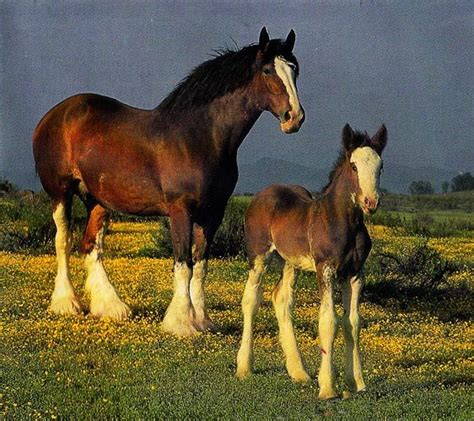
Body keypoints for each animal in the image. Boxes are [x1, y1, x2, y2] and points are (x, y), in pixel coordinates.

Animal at [34, 27, 308, 334]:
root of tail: (54, 116)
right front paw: (182, 322)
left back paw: (111, 307)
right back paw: (66, 303)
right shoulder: (180, 210)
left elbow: (200, 265)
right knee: (62, 241)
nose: (294, 117)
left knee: (91, 246)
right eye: (267, 70)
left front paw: (203, 320)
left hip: (97, 200)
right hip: (60, 193)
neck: (199, 136)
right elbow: (182, 263)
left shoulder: (213, 213)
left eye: (294, 70)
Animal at [235, 123, 386, 398]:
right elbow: (328, 321)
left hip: (289, 262)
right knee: (251, 299)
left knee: (281, 299)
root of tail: (262, 195)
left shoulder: (355, 273)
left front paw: (356, 383)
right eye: (354, 166)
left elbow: (352, 322)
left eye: (380, 166)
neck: (342, 221)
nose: (370, 202)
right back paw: (244, 367)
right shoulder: (324, 267)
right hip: (258, 255)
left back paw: (299, 372)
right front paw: (327, 386)